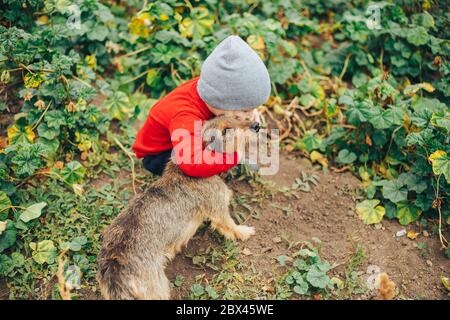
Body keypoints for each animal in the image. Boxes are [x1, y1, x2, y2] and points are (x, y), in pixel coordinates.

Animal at [97, 115, 260, 300]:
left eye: (236, 117)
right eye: (225, 131)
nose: (257, 125)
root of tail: (114, 271)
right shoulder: (219, 210)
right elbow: (231, 226)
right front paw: (244, 232)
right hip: (159, 289)